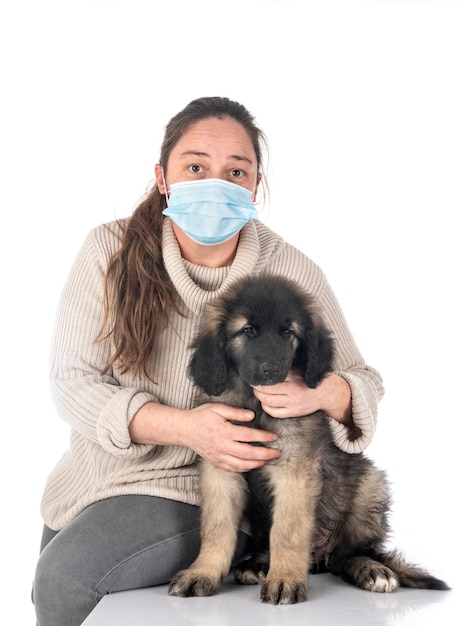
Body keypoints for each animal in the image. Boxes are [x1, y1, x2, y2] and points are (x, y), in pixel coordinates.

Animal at [167, 276, 448, 604]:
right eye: (247, 330)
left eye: (288, 332)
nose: (271, 370)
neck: (256, 401)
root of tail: (319, 557)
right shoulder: (221, 466)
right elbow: (217, 527)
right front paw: (203, 572)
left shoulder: (295, 469)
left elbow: (287, 529)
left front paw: (285, 579)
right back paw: (258, 564)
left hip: (369, 487)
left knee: (349, 554)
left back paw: (371, 570)